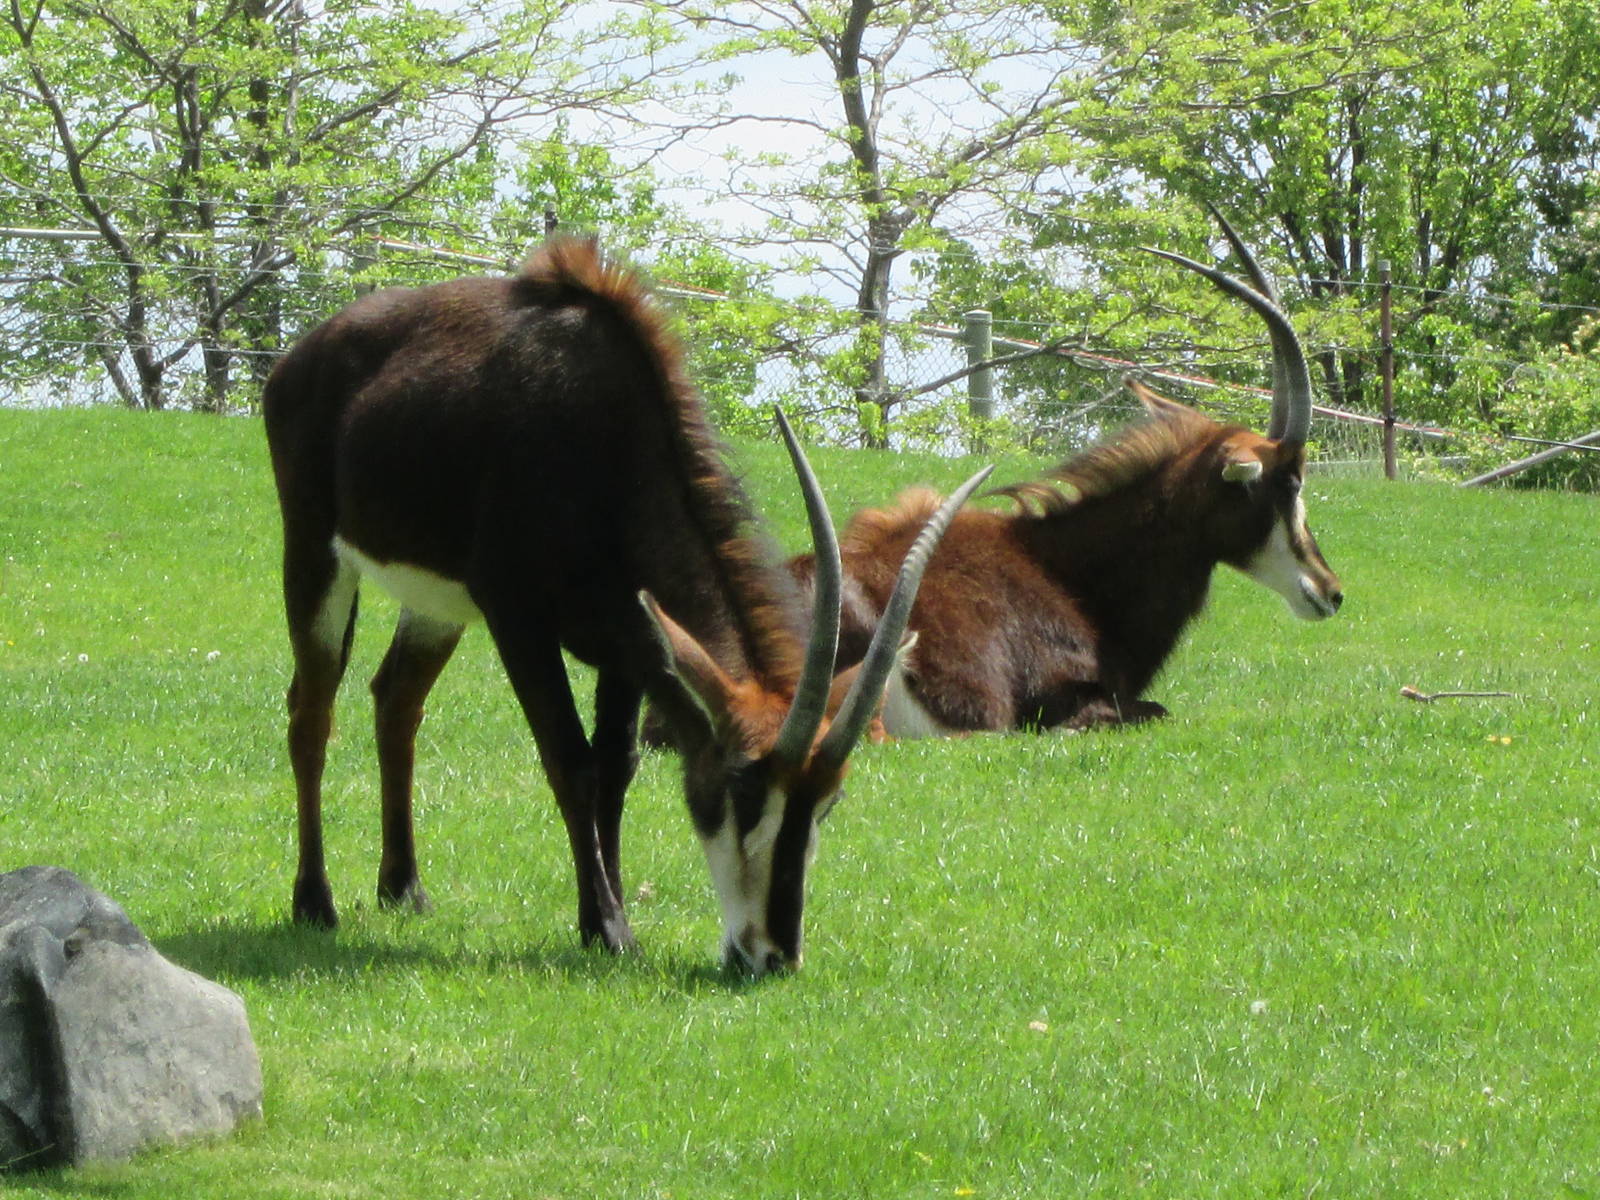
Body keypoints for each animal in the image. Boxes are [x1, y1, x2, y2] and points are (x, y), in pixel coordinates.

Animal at [261, 238, 988, 974]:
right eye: (742, 789)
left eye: (828, 802)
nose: (773, 954)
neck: (608, 438)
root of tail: (300, 355)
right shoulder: (518, 619)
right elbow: (573, 763)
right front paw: (610, 926)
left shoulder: (627, 640)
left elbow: (617, 767)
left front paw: (602, 916)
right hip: (316, 555)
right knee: (311, 711)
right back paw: (313, 902)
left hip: (436, 603)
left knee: (396, 702)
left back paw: (404, 889)